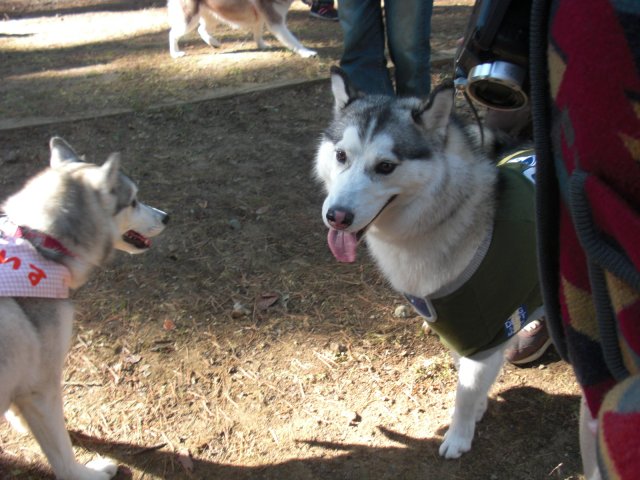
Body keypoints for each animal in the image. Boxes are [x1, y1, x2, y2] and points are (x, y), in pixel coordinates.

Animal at [0, 137, 168, 479]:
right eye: (133, 201)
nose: (167, 216)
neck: (40, 242)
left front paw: (19, 422)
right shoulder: (43, 387)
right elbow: (63, 456)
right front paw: (89, 473)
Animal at [167, 0, 317, 58]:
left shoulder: (259, 18)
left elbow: (258, 34)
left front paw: (262, 46)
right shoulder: (276, 22)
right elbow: (293, 41)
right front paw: (306, 52)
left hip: (213, 16)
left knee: (201, 29)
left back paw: (214, 43)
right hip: (189, 19)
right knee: (172, 33)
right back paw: (175, 53)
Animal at [315, 67, 544, 459]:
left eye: (386, 166)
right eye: (342, 155)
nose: (337, 217)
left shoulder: (487, 330)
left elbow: (465, 392)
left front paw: (459, 436)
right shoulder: (466, 332)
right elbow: (468, 376)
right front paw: (480, 407)